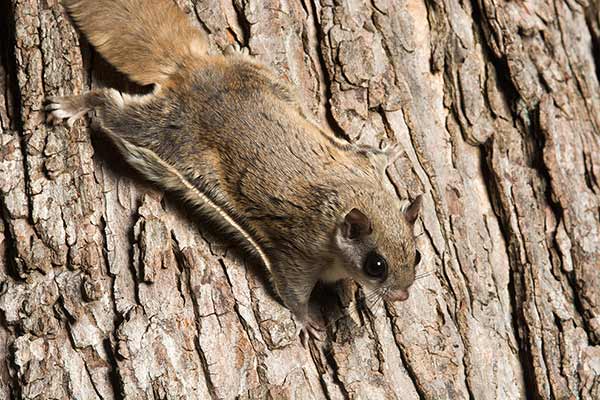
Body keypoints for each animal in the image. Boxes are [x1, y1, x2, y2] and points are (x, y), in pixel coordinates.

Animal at [45, 0, 422, 340]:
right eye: (376, 266)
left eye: (416, 255)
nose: (403, 295)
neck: (345, 200)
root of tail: (189, 69)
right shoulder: (298, 251)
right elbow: (292, 290)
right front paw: (305, 321)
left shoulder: (359, 168)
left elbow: (369, 156)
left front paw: (389, 152)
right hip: (163, 130)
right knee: (111, 108)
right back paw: (77, 105)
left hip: (262, 78)